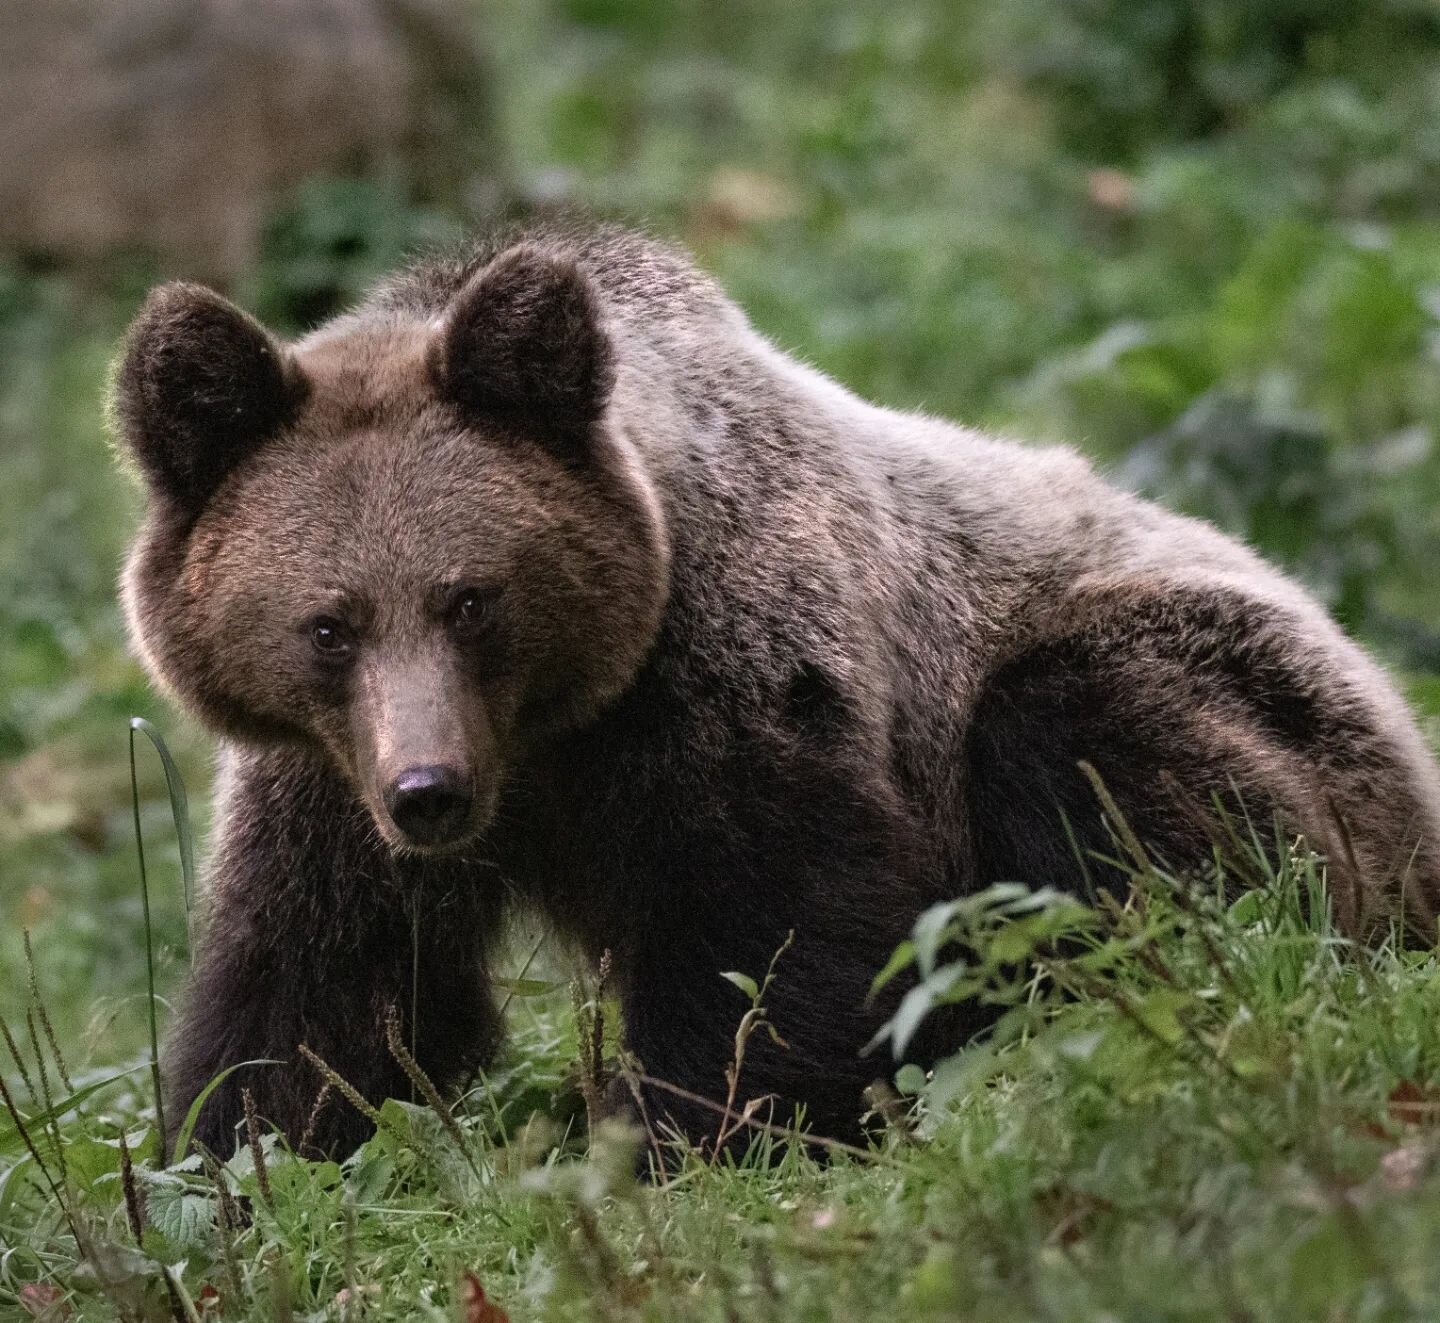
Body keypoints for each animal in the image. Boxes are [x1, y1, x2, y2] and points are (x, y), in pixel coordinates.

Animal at [109, 224, 1440, 1157]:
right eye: (327, 625)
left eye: (471, 598)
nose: (429, 791)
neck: (552, 732)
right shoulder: (330, 784)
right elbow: (322, 994)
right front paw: (246, 1158)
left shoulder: (736, 683)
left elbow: (768, 941)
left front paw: (689, 1137)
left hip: (1255, 694)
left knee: (1103, 764)